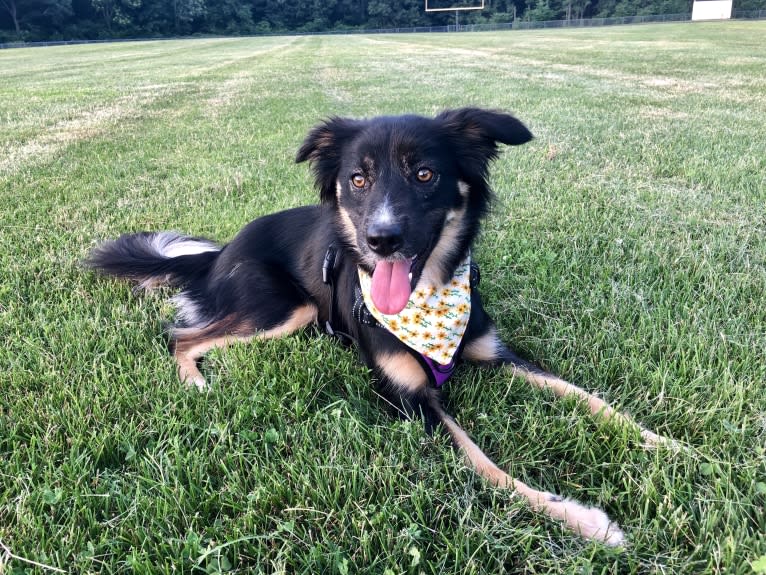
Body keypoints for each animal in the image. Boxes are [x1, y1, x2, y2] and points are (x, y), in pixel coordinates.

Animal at [87, 107, 672, 544]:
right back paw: (196, 382)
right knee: (179, 336)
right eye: (359, 179)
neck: (428, 302)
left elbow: (590, 398)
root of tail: (221, 251)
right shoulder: (412, 402)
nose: (381, 239)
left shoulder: (498, 354)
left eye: (425, 174)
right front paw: (582, 519)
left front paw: (666, 444)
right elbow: (489, 466)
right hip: (284, 308)